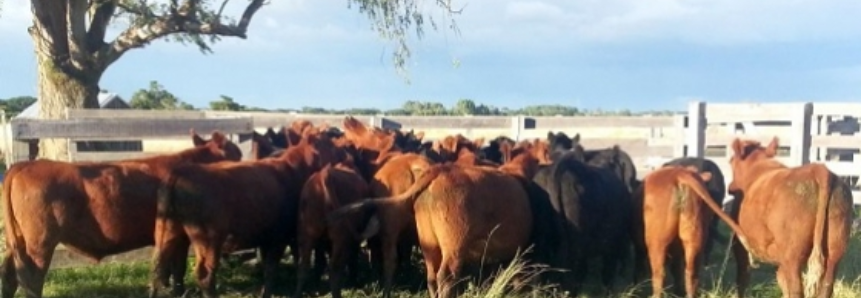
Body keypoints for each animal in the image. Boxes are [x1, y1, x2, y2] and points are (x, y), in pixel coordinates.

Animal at [0, 132, 239, 298]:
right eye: (236, 155)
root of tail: (25, 165)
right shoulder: (181, 234)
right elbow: (178, 268)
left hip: (17, 241)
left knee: (9, 275)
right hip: (39, 243)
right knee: (31, 278)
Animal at [636, 165, 748, 298]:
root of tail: (679, 173)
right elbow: (677, 269)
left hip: (657, 243)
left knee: (659, 273)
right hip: (695, 238)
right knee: (691, 274)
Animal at [724, 139, 852, 298]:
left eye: (731, 161)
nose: (730, 187)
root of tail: (819, 170)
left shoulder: (739, 243)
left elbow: (743, 277)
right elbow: (781, 279)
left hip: (792, 255)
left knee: (796, 288)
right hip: (835, 248)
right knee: (826, 286)